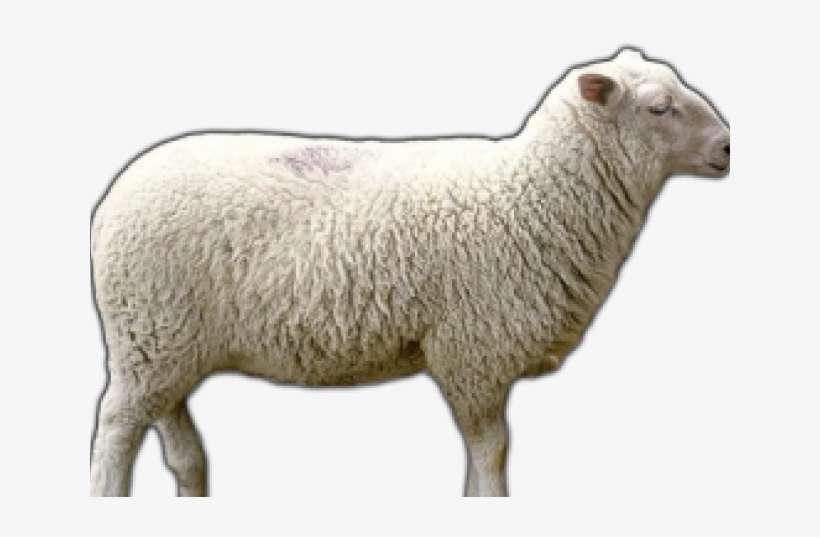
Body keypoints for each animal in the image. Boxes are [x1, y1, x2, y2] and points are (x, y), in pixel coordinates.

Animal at [90, 48, 730, 497]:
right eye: (658, 107)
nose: (728, 146)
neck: (533, 194)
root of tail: (113, 198)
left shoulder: (473, 356)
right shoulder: (473, 352)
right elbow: (493, 452)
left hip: (167, 342)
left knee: (181, 450)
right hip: (149, 332)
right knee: (115, 431)